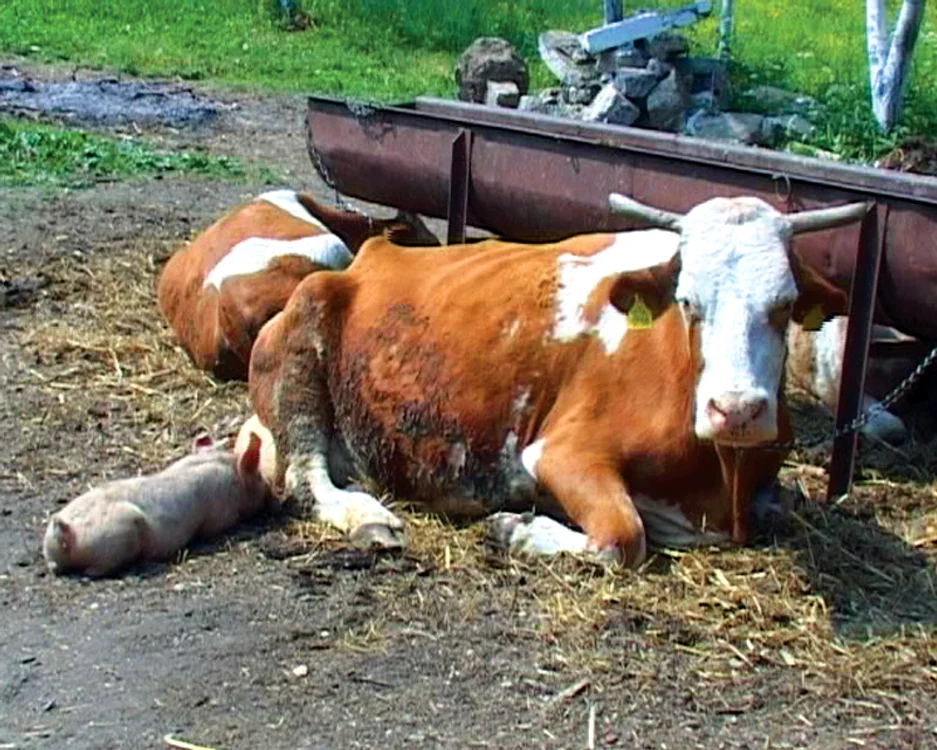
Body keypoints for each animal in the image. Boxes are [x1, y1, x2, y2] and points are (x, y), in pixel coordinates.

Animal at [246, 194, 868, 566]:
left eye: (785, 305)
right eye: (689, 301)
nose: (735, 409)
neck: (722, 480)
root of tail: (371, 254)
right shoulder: (562, 451)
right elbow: (623, 538)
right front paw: (516, 529)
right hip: (299, 354)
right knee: (307, 478)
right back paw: (370, 519)